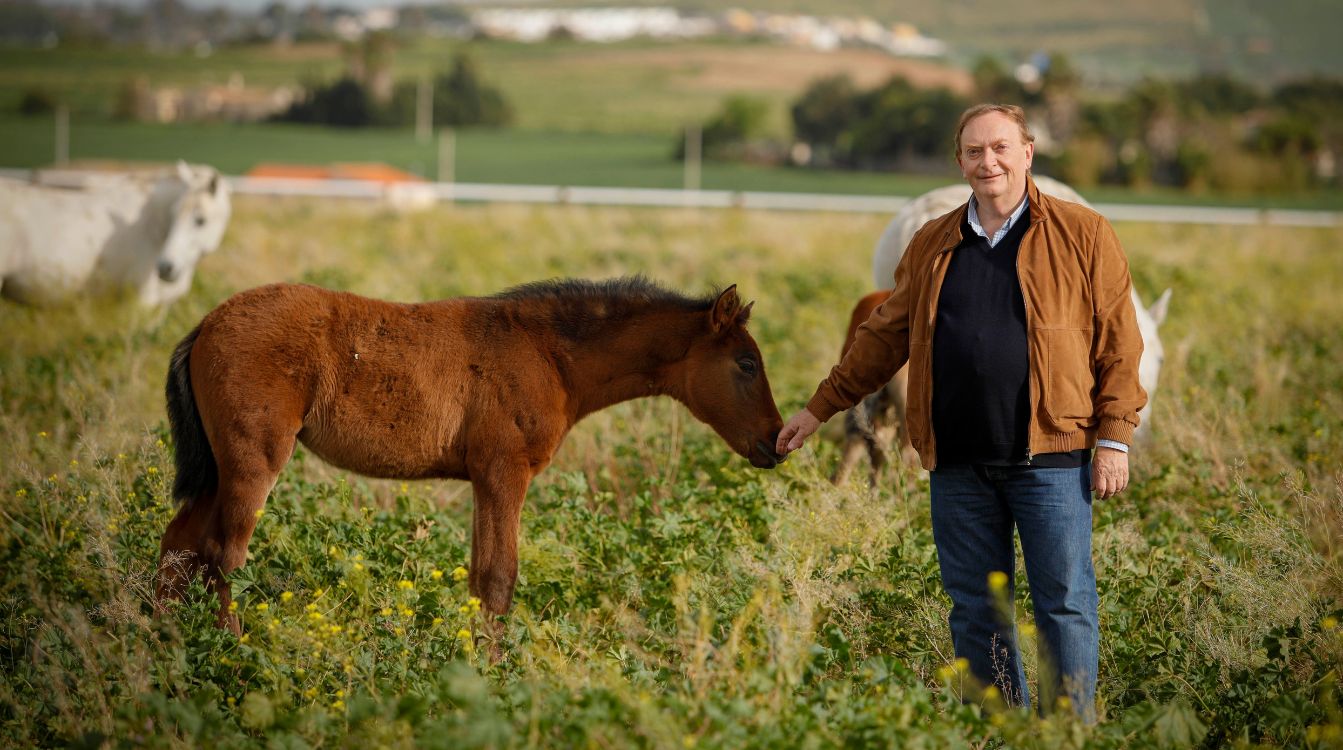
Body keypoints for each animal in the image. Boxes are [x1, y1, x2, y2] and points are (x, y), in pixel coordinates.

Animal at [157, 279, 784, 631]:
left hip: (219, 467)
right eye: (747, 364)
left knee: (179, 544)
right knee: (222, 554)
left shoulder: (484, 477)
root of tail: (205, 323)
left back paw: (163, 639)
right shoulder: (506, 471)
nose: (775, 441)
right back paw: (232, 651)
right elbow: (501, 579)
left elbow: (482, 578)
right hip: (253, 459)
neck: (549, 354)